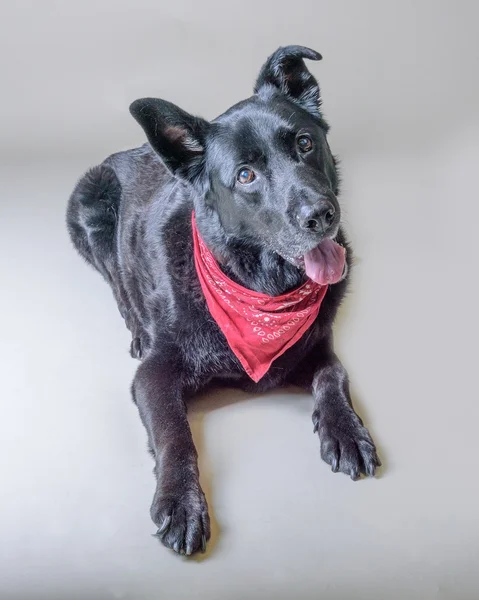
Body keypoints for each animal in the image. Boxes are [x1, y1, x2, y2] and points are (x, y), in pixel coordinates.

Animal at [68, 44, 382, 556]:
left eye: (305, 143)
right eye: (246, 175)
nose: (321, 215)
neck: (259, 287)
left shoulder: (317, 345)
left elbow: (335, 375)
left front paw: (347, 430)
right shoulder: (153, 374)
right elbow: (175, 434)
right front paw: (181, 501)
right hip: (91, 210)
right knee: (116, 282)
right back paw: (135, 327)